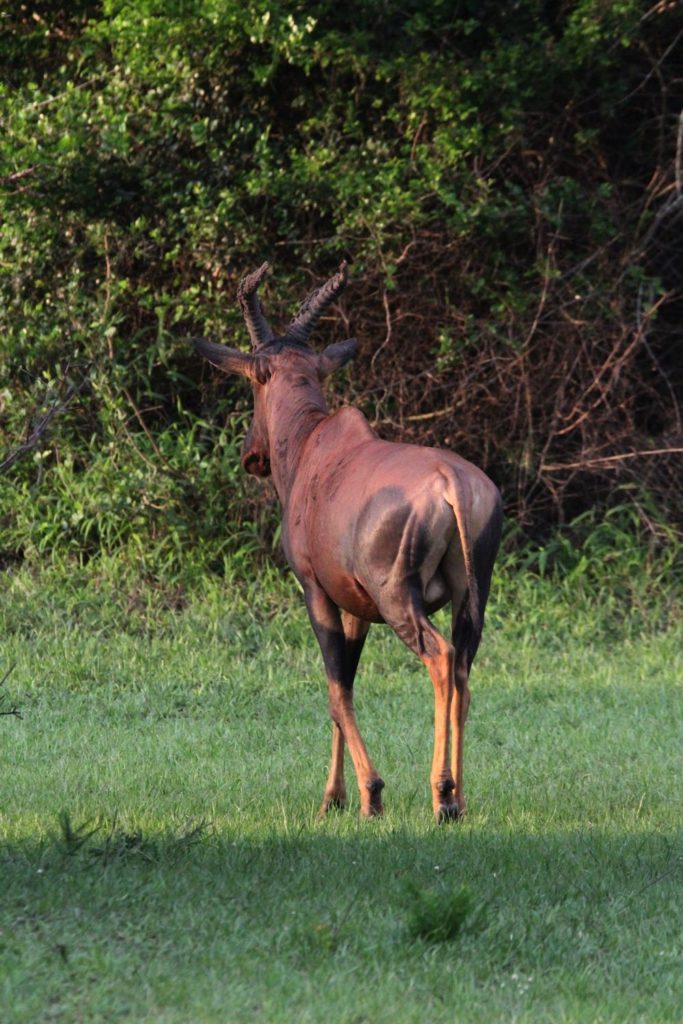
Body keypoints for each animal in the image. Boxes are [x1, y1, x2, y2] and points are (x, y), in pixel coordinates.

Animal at [192, 264, 501, 823]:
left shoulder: (316, 591)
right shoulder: (356, 607)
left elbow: (335, 688)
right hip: (473, 596)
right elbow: (348, 685)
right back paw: (461, 800)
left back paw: (441, 794)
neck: (317, 446)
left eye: (253, 381)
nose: (252, 455)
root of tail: (452, 484)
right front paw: (335, 797)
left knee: (441, 659)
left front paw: (365, 796)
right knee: (464, 669)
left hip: (399, 599)